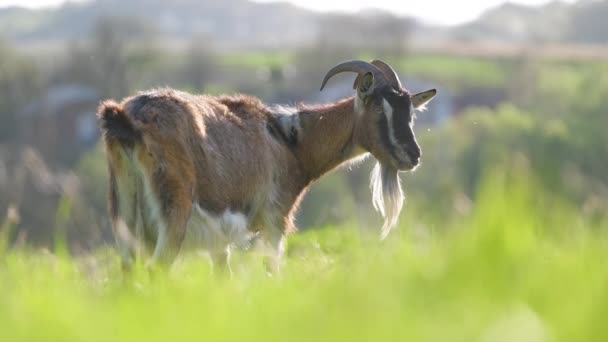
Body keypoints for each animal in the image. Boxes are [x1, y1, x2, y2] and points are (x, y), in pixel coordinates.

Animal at [96, 59, 436, 272]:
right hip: (172, 215)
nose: (412, 155)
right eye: (379, 107)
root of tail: (128, 119)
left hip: (124, 215)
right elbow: (272, 271)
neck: (288, 140)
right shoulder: (275, 219)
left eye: (410, 112)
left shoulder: (220, 241)